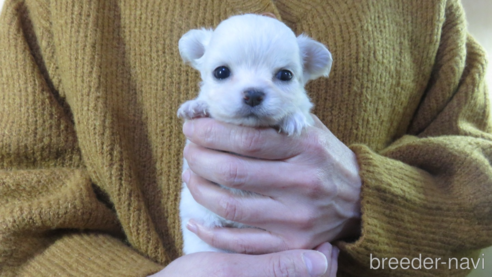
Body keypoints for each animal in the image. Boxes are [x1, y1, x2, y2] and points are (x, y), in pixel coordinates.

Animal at [178, 13, 334, 254]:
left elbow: (300, 111)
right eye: (221, 72)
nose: (253, 94)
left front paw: (293, 118)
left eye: (285, 75)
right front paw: (196, 106)